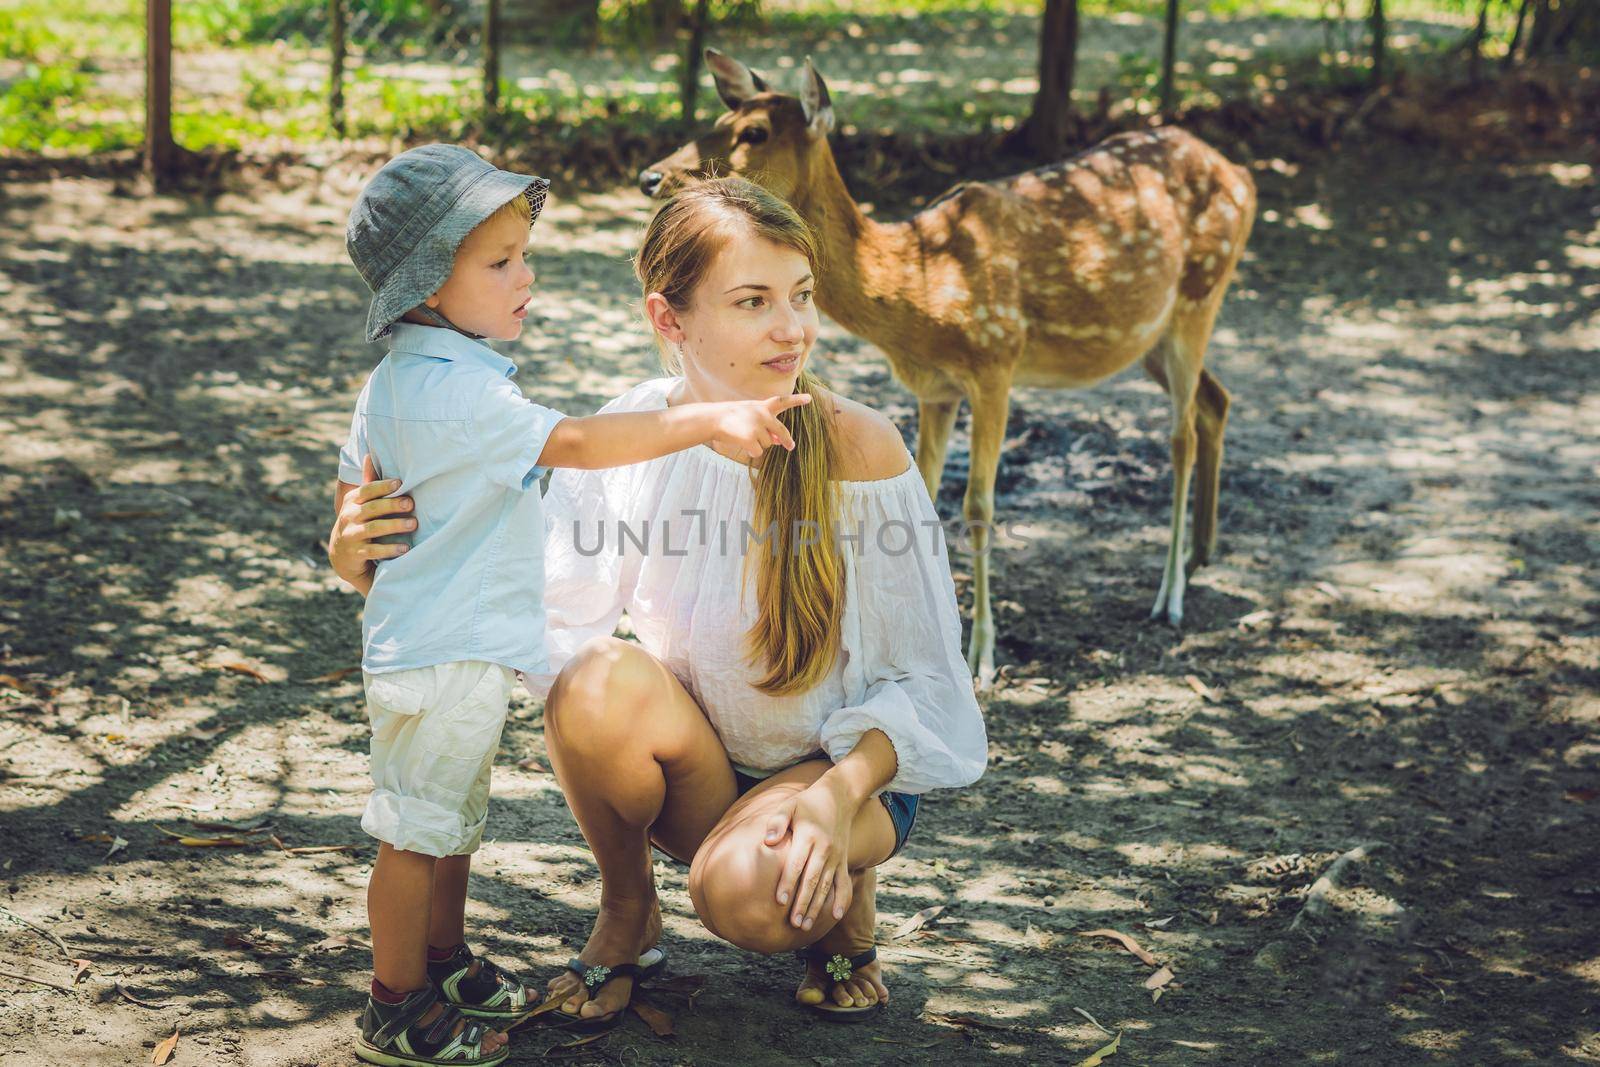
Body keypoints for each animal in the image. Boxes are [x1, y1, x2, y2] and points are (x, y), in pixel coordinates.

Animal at [643, 49, 1254, 684]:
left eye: (755, 132)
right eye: (719, 118)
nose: (651, 177)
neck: (918, 290)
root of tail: (1242, 173)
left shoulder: (996, 359)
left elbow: (979, 505)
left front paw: (983, 654)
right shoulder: (934, 388)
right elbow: (926, 494)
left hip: (1200, 295)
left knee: (1181, 434)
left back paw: (1170, 596)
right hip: (1150, 338)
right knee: (1216, 401)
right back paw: (1201, 553)